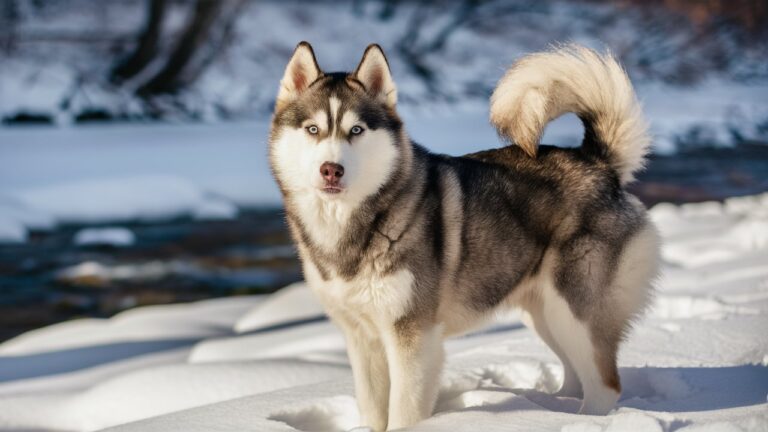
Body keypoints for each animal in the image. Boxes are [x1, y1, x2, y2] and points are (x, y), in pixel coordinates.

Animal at [268, 41, 660, 432]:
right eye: (313, 129)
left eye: (357, 130)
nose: (331, 170)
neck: (356, 226)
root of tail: (598, 163)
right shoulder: (361, 338)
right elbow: (372, 408)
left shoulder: (413, 337)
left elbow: (403, 413)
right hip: (546, 315)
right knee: (575, 376)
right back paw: (549, 411)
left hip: (575, 312)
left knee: (605, 386)